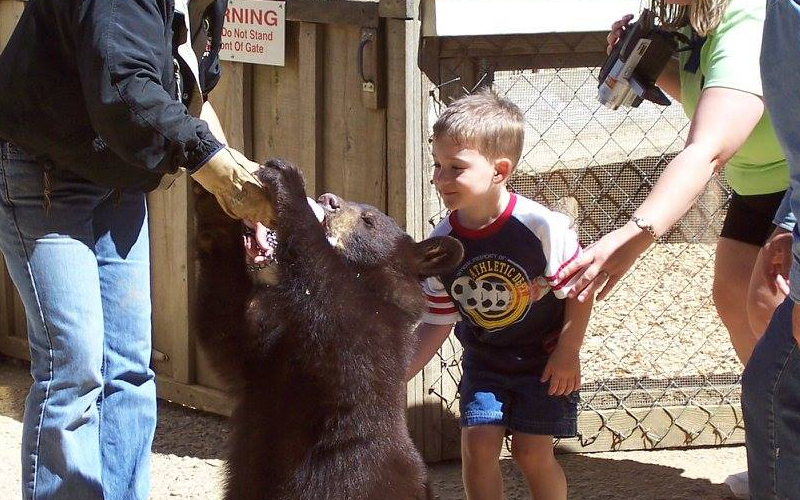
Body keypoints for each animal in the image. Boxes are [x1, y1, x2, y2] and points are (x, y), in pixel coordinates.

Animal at [195, 158, 464, 500]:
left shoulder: (376, 332)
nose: (328, 199)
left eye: (368, 220)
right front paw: (212, 202)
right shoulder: (268, 344)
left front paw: (287, 182)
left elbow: (338, 313)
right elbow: (226, 330)